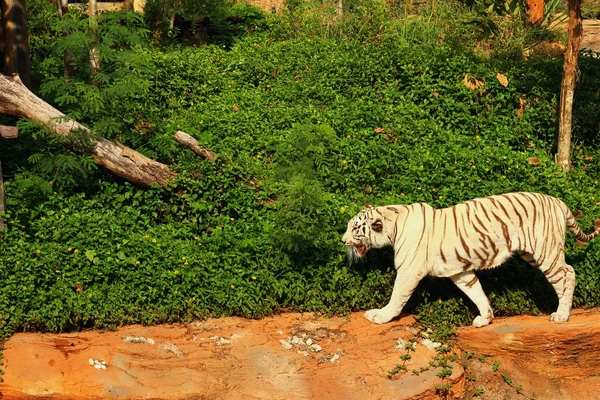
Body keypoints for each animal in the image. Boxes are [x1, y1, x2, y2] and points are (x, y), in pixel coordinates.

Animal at [342, 192, 600, 326]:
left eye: (355, 228)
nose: (343, 240)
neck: (393, 223)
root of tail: (558, 201)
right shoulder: (460, 271)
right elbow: (476, 292)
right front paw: (485, 317)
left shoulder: (408, 271)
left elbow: (397, 297)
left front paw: (380, 316)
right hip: (533, 253)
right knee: (569, 270)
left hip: (545, 251)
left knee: (566, 275)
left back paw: (562, 314)